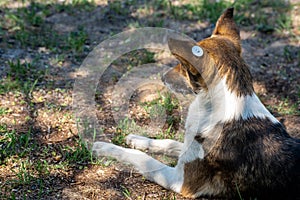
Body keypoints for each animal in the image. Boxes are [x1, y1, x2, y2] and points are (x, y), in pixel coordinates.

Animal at [92, 7, 298, 198]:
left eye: (183, 65)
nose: (162, 77)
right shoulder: (187, 149)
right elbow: (169, 143)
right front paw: (137, 139)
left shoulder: (180, 181)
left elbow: (142, 158)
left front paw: (104, 147)